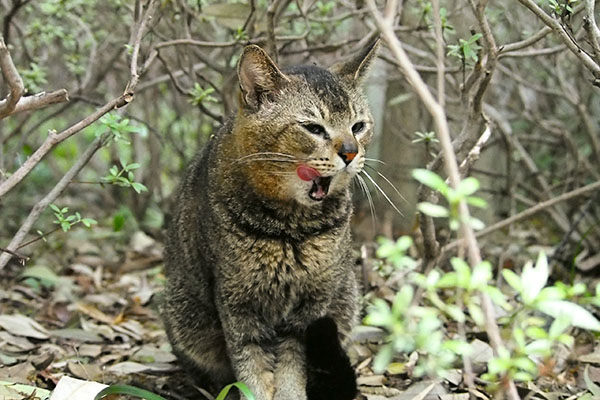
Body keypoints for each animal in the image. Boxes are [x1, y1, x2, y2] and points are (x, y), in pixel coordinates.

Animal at [163, 38, 380, 400]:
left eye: (358, 126)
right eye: (313, 128)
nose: (350, 153)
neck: (290, 230)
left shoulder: (312, 302)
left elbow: (293, 367)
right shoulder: (238, 301)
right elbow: (250, 364)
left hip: (345, 296)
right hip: (184, 313)